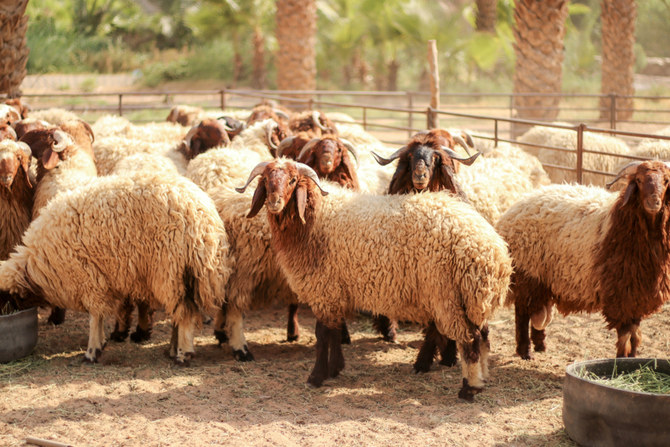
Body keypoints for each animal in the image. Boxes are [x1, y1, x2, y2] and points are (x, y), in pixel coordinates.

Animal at [236, 159, 516, 400]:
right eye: (265, 179)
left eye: (293, 180)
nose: (273, 202)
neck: (313, 218)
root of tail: (493, 253)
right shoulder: (336, 289)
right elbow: (335, 332)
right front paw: (335, 368)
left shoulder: (324, 288)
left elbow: (322, 335)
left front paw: (316, 377)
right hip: (469, 298)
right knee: (482, 335)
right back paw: (480, 378)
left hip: (446, 295)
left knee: (470, 340)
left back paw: (469, 388)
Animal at [496, 161, 670, 360]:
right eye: (639, 180)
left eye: (666, 181)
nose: (653, 202)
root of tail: (511, 211)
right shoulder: (621, 294)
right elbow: (626, 334)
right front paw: (620, 360)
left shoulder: (637, 295)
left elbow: (635, 333)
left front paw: (633, 359)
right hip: (528, 273)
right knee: (523, 312)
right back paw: (525, 351)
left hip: (542, 278)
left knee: (535, 310)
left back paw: (540, 345)